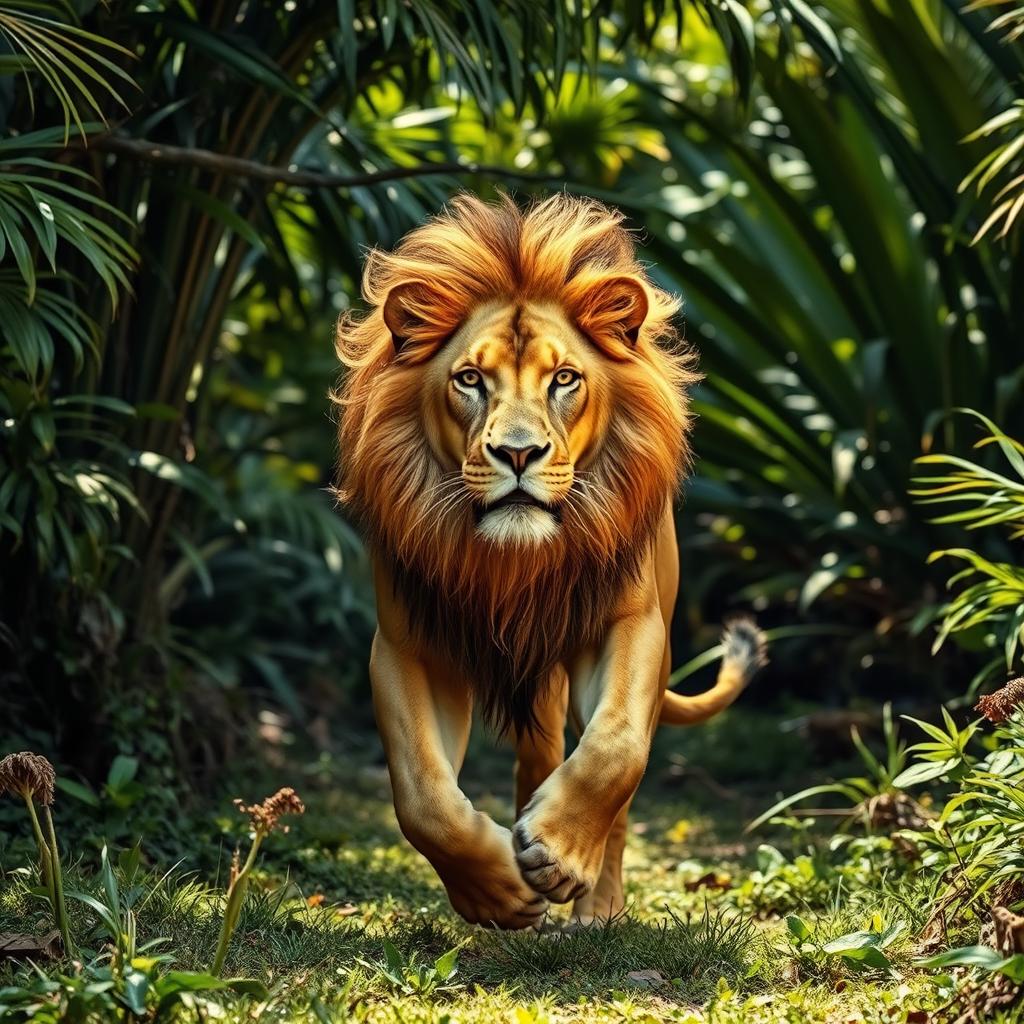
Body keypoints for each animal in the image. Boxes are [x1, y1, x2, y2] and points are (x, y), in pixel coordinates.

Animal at [335, 193, 766, 929]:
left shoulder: (632, 624)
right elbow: (421, 793)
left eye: (564, 379)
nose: (517, 453)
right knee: (533, 764)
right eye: (470, 380)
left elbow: (616, 749)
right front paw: (498, 893)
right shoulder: (407, 644)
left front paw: (560, 857)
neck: (514, 565)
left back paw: (596, 908)